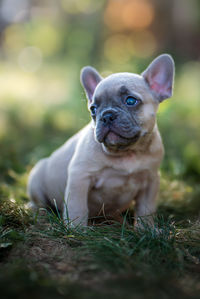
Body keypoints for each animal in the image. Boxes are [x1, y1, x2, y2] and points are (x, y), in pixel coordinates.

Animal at [27, 54, 174, 227]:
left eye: (131, 101)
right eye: (93, 109)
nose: (107, 115)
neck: (126, 152)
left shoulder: (151, 181)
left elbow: (146, 210)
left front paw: (147, 230)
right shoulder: (80, 177)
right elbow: (77, 207)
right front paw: (76, 229)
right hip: (36, 178)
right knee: (39, 203)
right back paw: (40, 213)